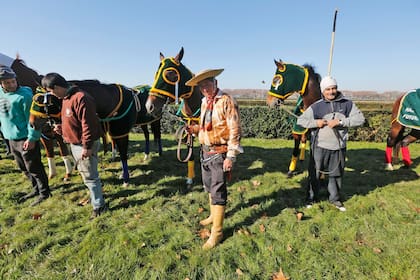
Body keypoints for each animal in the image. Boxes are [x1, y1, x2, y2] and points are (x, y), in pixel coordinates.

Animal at [145, 46, 203, 185]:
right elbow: (190, 153)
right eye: (156, 74)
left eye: (169, 74)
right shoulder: (188, 129)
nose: (149, 106)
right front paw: (190, 179)